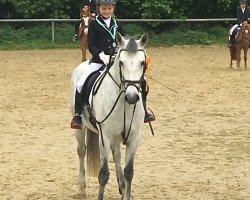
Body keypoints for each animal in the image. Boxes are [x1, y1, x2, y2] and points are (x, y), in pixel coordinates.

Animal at [70, 32, 148, 199]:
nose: (132, 97)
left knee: (117, 154)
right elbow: (104, 174)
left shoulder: (134, 137)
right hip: (80, 126)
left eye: (142, 62)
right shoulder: (104, 136)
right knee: (81, 150)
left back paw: (122, 187)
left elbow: (129, 172)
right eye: (121, 62)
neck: (124, 103)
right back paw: (81, 188)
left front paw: (127, 193)